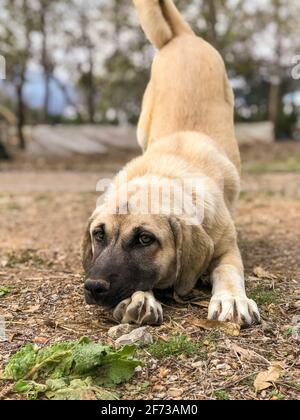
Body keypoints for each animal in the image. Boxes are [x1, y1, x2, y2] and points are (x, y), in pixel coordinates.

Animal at [81, 0, 260, 326]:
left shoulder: (227, 248)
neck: (166, 171)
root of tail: (182, 38)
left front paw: (231, 298)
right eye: (98, 234)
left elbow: (229, 272)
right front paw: (141, 298)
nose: (93, 287)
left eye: (145, 239)